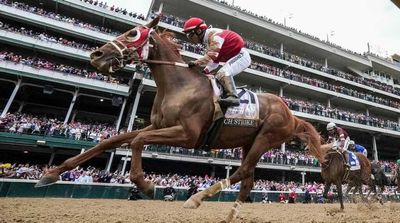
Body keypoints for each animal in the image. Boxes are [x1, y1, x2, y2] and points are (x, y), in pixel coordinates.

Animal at [36, 16, 324, 222]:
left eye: (133, 33)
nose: (96, 55)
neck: (179, 85)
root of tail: (290, 113)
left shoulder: (188, 135)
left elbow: (138, 141)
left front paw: (146, 184)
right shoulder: (159, 125)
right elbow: (113, 140)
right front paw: (51, 173)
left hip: (266, 138)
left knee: (242, 171)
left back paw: (194, 199)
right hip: (248, 142)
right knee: (247, 179)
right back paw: (227, 216)